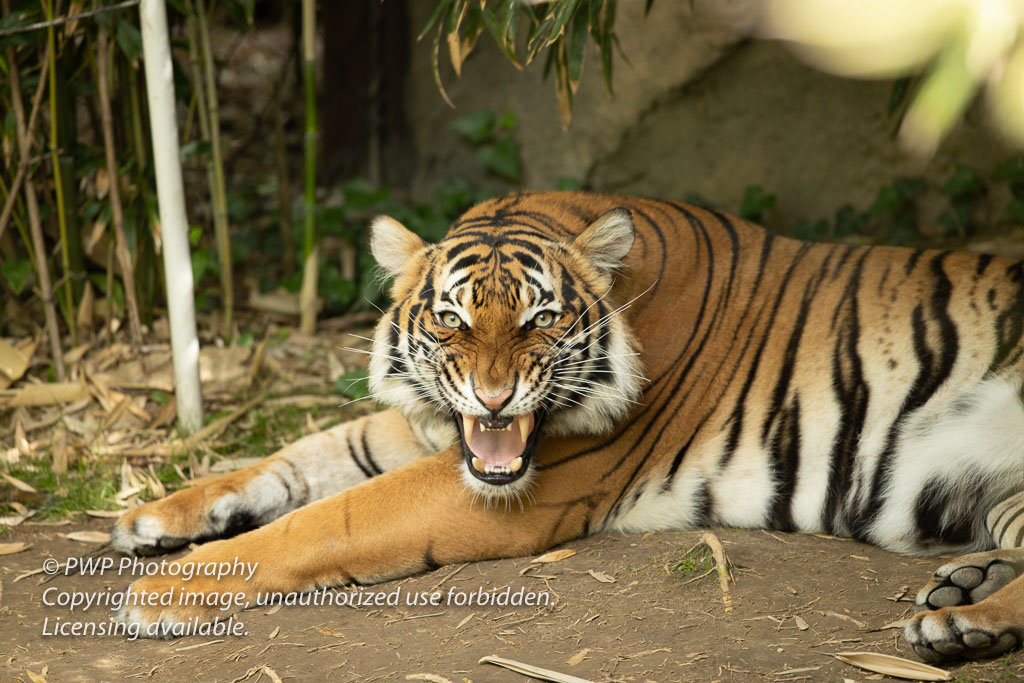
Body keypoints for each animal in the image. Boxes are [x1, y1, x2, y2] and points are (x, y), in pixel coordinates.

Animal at [110, 192, 1024, 663]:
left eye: (540, 320)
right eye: (450, 320)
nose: (492, 397)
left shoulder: (510, 484)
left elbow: (329, 517)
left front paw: (164, 590)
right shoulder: (437, 432)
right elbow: (307, 456)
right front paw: (157, 516)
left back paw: (958, 623)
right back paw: (963, 588)